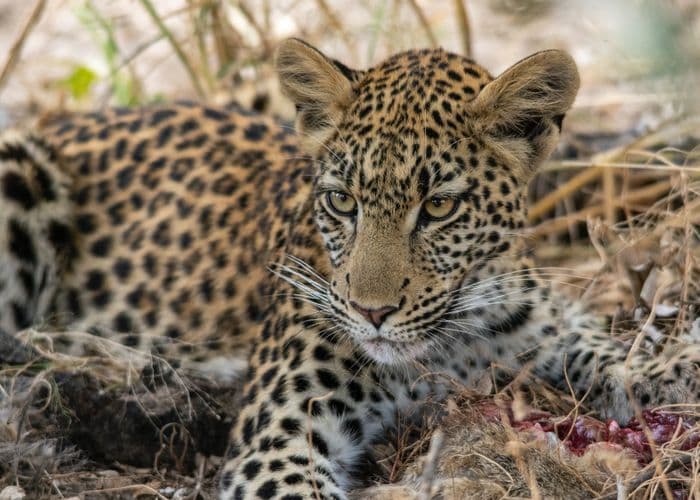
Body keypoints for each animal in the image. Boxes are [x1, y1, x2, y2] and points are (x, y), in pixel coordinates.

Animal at [1, 38, 699, 500]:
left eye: (438, 206)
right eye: (342, 201)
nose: (372, 313)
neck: (451, 350)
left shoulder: (539, 317)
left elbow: (606, 350)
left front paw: (667, 373)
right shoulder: (278, 439)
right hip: (20, 169)